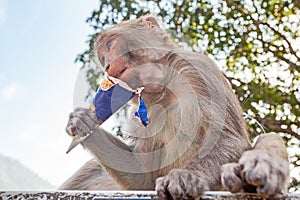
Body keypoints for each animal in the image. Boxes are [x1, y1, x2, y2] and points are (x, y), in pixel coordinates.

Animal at [59, 14, 290, 199]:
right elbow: (143, 176)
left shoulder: (196, 68)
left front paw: (186, 175)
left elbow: (229, 138)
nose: (107, 66)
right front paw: (82, 122)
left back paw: (252, 176)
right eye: (102, 57)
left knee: (269, 137)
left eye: (109, 46)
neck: (164, 86)